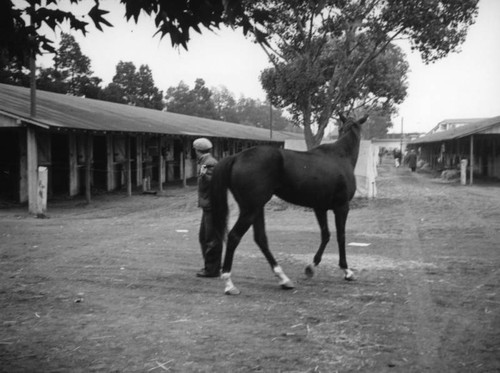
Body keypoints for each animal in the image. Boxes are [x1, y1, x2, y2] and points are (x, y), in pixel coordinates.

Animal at [209, 113, 370, 294]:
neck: (340, 156)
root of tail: (236, 157)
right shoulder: (341, 207)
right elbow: (341, 237)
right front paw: (347, 271)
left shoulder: (320, 208)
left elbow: (326, 235)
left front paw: (311, 267)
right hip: (250, 209)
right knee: (234, 236)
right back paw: (229, 284)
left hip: (256, 208)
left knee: (261, 239)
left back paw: (283, 279)